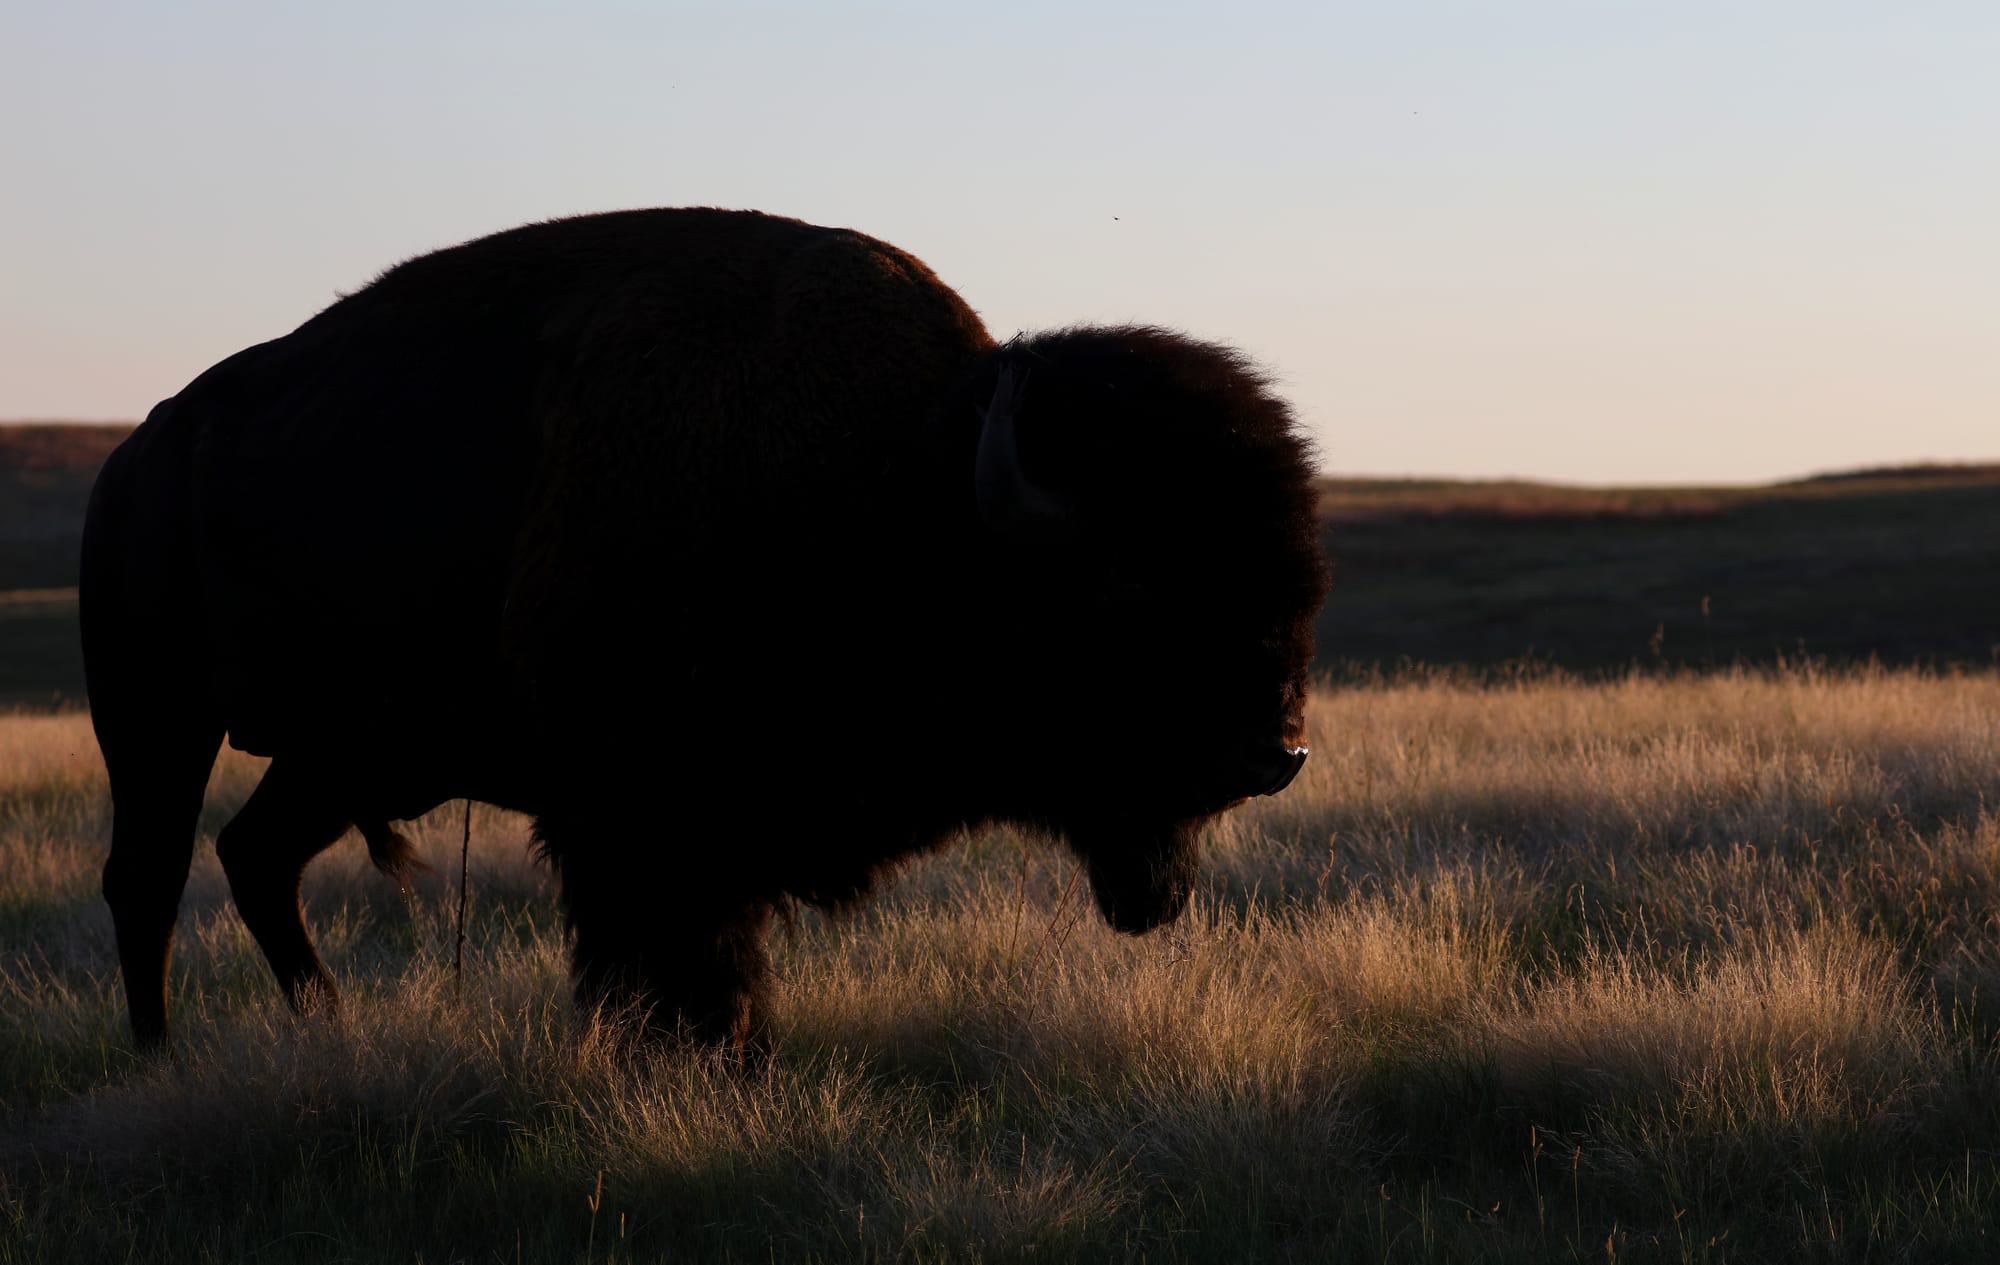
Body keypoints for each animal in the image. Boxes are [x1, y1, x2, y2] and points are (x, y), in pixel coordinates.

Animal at [82, 210, 1328, 1048]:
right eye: (1136, 597)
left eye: (1293, 589)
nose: (1272, 751)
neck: (905, 486)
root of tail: (140, 450)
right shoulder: (638, 825)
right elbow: (683, 969)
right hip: (156, 717)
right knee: (148, 875)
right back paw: (159, 1058)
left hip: (342, 750)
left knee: (258, 855)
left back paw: (326, 1027)